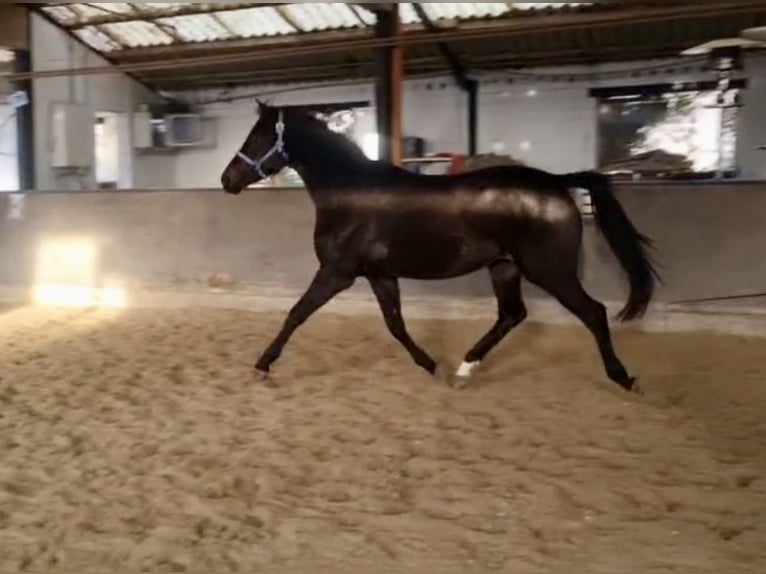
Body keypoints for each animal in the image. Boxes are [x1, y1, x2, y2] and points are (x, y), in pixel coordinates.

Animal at [220, 101, 659, 393]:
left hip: (550, 270)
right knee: (512, 315)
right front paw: (432, 366)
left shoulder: (337, 272)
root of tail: (554, 181)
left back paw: (624, 378)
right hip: (504, 266)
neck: (350, 193)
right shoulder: (379, 275)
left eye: (257, 136)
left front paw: (262, 366)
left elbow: (296, 314)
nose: (228, 180)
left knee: (593, 312)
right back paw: (465, 369)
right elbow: (396, 325)